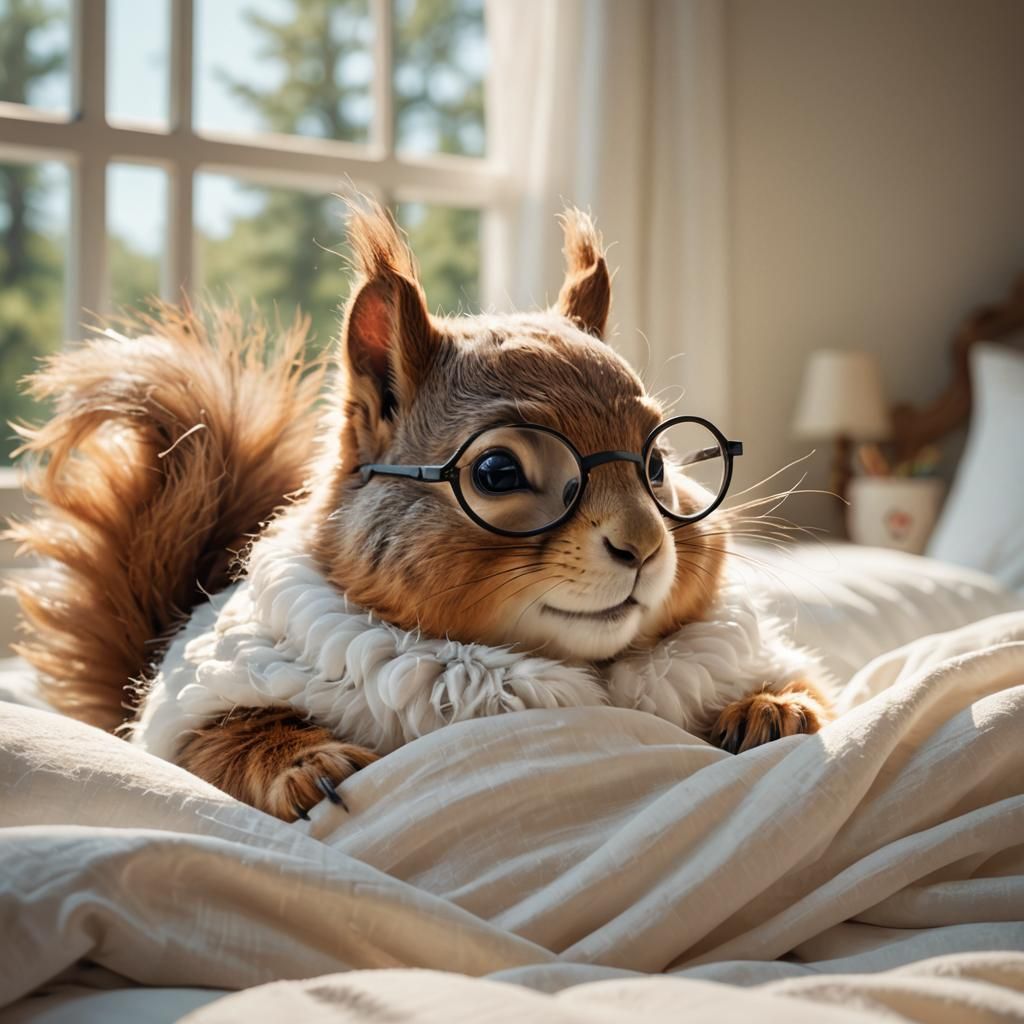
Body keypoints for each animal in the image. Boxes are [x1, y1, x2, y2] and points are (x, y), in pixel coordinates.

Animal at [8, 200, 833, 821]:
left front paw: (775, 709)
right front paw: (305, 762)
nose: (642, 546)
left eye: (658, 464)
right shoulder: (198, 704)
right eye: (498, 471)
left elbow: (808, 683)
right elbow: (215, 743)